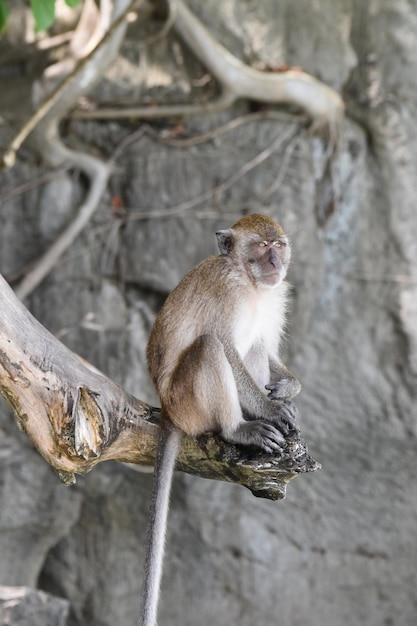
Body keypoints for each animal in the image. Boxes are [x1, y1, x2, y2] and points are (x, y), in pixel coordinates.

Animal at [140, 213, 300, 624]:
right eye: (261, 246)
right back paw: (239, 428)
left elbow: (264, 346)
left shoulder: (275, 296)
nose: (274, 262)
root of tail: (166, 408)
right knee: (210, 347)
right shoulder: (225, 293)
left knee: (254, 345)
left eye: (278, 246)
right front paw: (272, 409)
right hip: (186, 402)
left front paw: (289, 389)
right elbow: (225, 347)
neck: (249, 283)